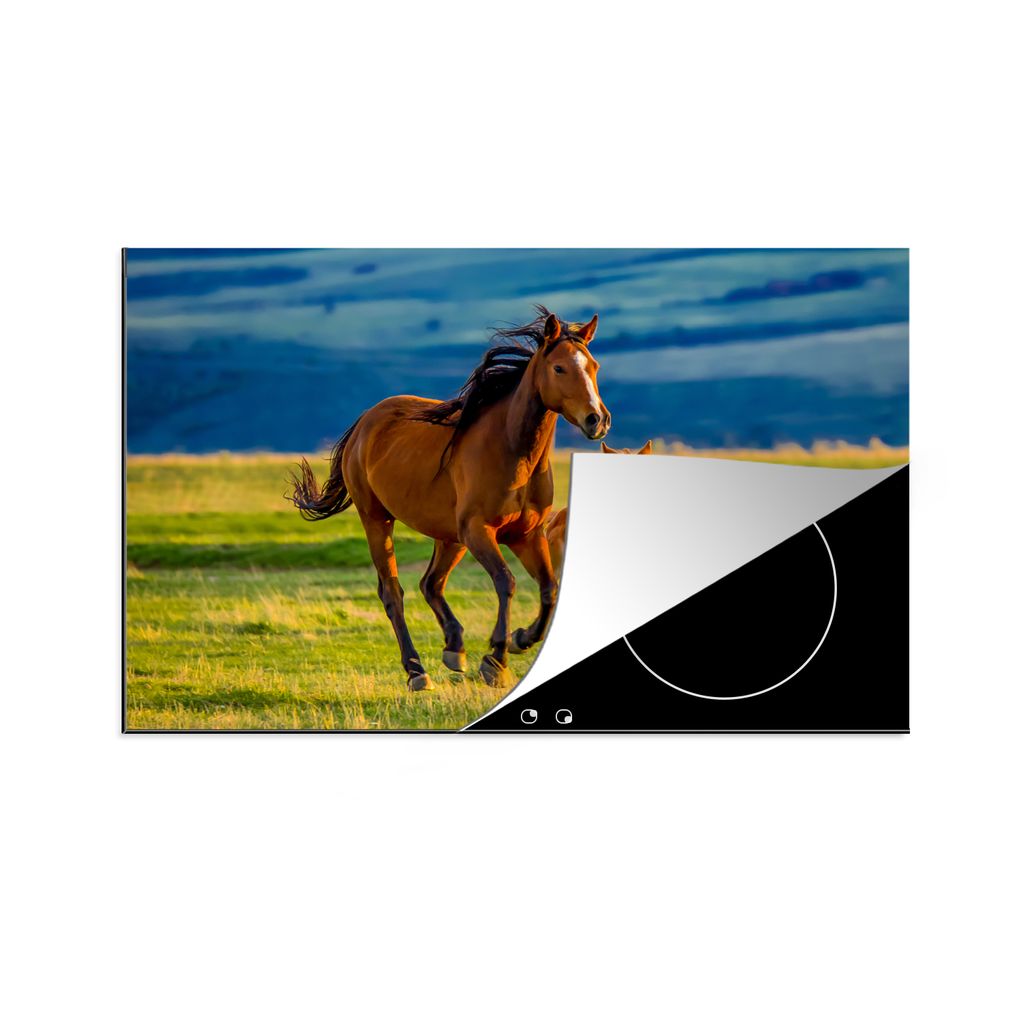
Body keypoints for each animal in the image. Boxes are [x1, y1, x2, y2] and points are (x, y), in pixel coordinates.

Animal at [287, 307, 611, 691]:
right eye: (559, 368)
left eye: (594, 366)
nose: (597, 420)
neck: (512, 450)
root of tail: (365, 422)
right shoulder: (479, 531)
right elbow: (507, 582)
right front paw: (496, 660)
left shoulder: (526, 535)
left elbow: (550, 589)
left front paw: (520, 639)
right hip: (378, 520)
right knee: (393, 593)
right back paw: (416, 671)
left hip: (449, 537)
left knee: (431, 583)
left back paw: (454, 648)